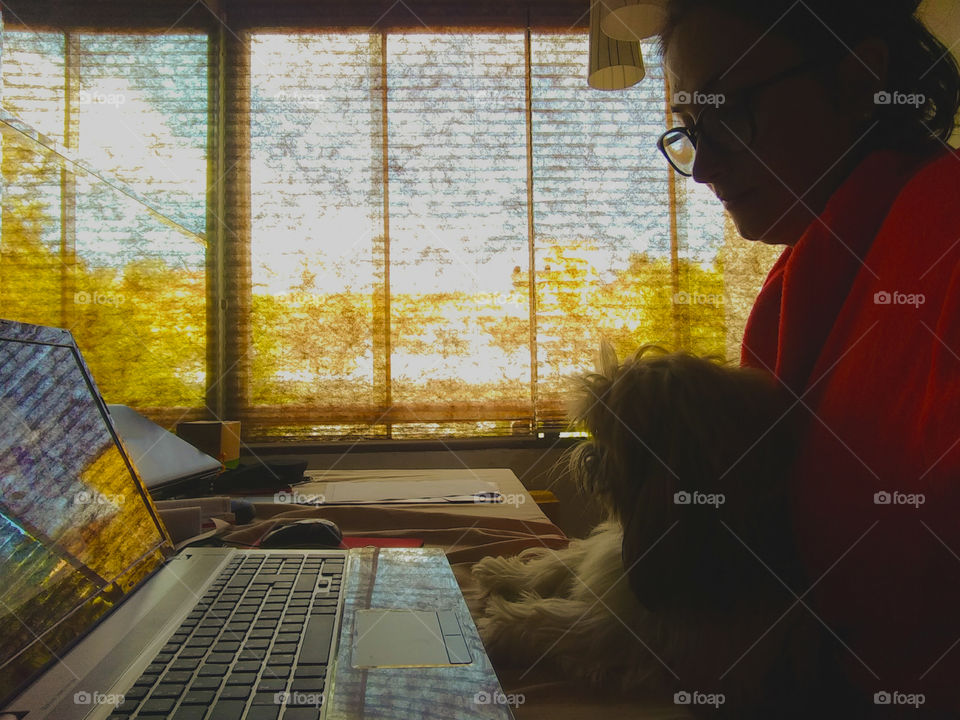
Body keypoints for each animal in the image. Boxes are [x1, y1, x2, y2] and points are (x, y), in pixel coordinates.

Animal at [472, 344, 824, 716]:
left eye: (608, 430)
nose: (588, 451)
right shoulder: (614, 554)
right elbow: (565, 560)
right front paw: (506, 574)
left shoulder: (644, 632)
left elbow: (566, 622)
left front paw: (502, 625)